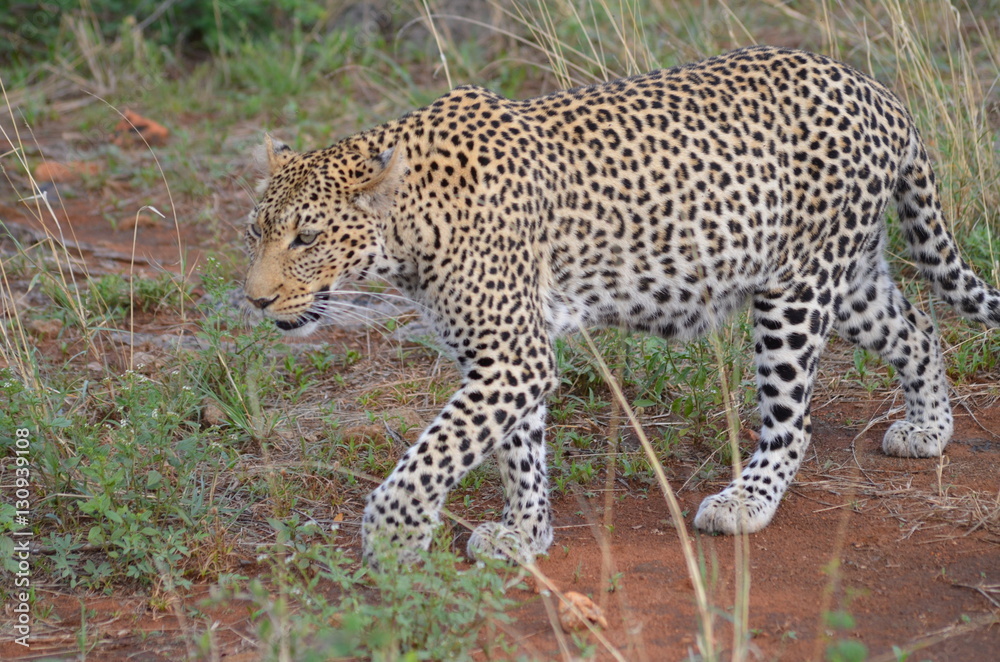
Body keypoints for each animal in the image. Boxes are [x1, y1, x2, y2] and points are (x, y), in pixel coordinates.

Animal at [243, 45, 1000, 565]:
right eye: (255, 233)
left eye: (306, 238)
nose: (254, 299)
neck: (407, 230)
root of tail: (878, 91)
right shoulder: (509, 358)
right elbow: (518, 450)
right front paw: (526, 535)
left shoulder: (511, 356)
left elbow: (436, 450)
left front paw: (393, 537)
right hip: (846, 277)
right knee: (918, 329)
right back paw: (928, 430)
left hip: (795, 290)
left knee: (793, 420)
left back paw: (745, 502)